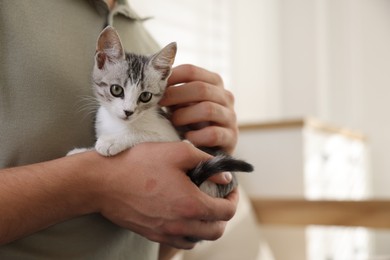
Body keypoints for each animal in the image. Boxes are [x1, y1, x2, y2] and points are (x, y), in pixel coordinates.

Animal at [69, 25, 253, 197]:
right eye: (116, 89)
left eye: (145, 96)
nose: (128, 111)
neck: (119, 124)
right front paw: (80, 152)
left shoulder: (171, 136)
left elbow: (144, 134)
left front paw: (111, 141)